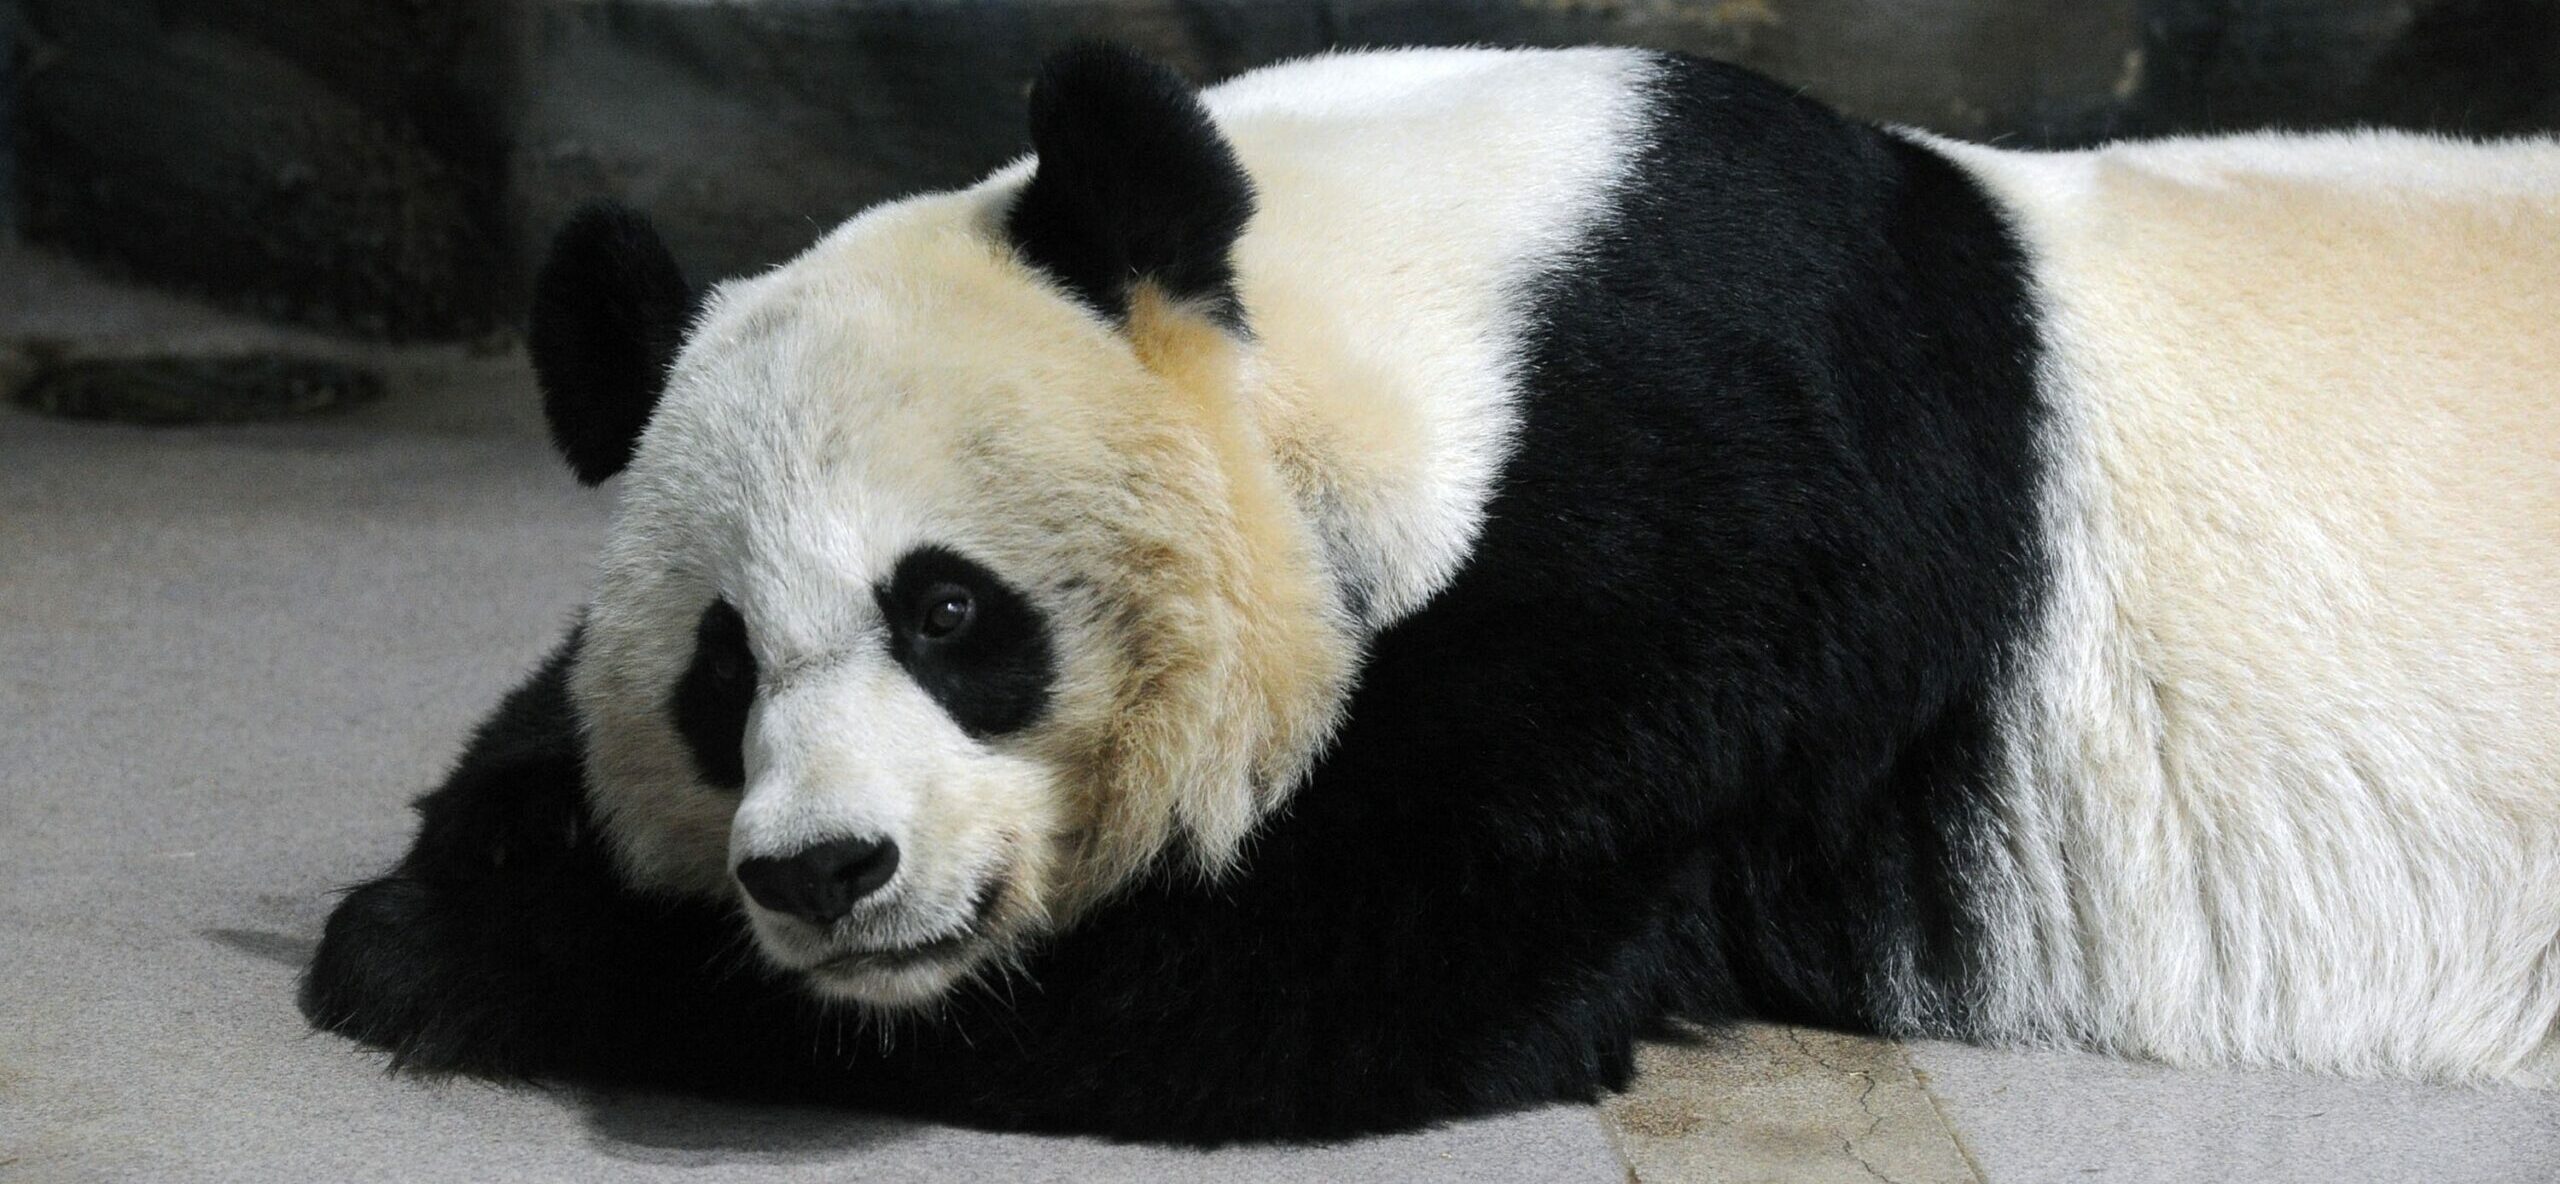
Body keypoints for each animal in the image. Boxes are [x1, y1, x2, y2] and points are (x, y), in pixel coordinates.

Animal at [301, 44, 2560, 1141]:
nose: (823, 872)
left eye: (951, 615)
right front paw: (467, 856)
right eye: (718, 670)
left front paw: (467, 952)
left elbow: (1345, 966)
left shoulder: (1706, 508)